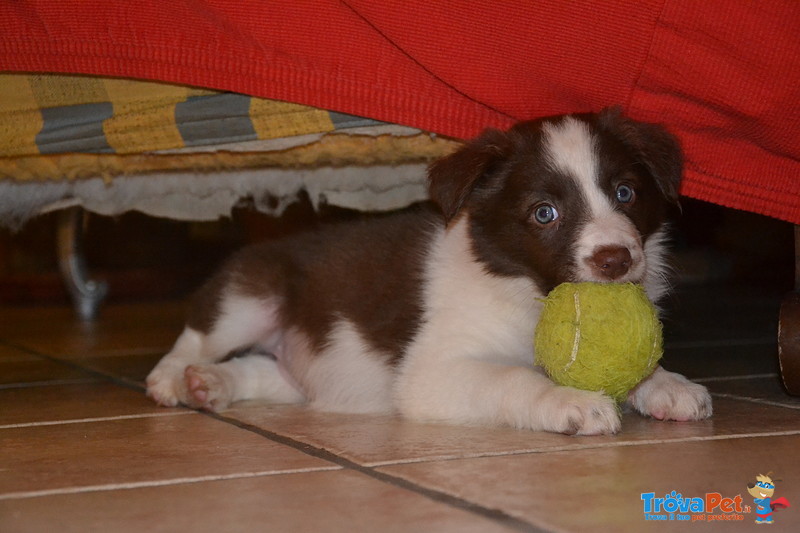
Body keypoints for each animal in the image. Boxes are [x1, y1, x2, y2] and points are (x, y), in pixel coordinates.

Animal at [145, 107, 712, 432]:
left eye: (625, 193)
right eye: (544, 213)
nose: (617, 260)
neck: (524, 292)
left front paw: (665, 385)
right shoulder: (431, 373)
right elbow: (513, 377)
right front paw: (569, 401)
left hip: (308, 371)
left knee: (265, 372)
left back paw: (212, 384)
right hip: (250, 294)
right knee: (196, 338)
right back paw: (175, 380)